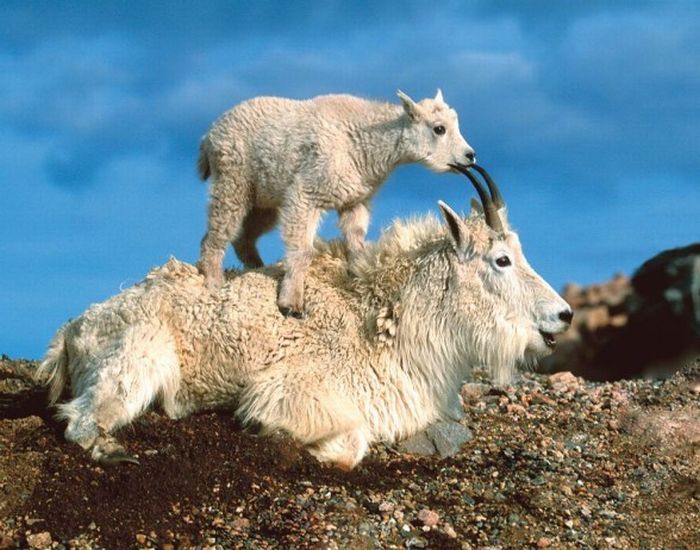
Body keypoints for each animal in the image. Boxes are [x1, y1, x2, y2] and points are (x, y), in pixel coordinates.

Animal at [38, 167, 572, 470]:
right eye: (502, 259)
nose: (563, 315)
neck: (384, 318)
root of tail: (71, 331)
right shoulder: (293, 388)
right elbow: (351, 441)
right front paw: (289, 440)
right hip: (137, 359)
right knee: (81, 420)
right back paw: (115, 449)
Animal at [200, 91, 478, 320]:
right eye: (439, 128)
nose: (470, 156)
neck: (367, 145)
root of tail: (209, 136)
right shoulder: (306, 193)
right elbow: (303, 250)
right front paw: (292, 304)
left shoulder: (355, 200)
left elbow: (356, 239)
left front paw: (358, 275)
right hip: (233, 180)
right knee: (218, 231)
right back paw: (214, 282)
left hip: (265, 198)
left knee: (244, 237)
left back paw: (257, 269)